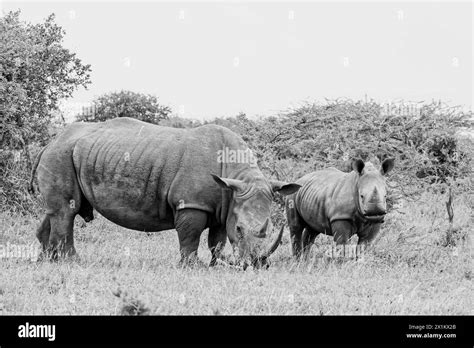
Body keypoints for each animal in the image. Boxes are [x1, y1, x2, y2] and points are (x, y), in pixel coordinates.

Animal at [30, 118, 300, 268]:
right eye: (241, 229)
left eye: (270, 229)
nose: (255, 264)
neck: (237, 175)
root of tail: (50, 142)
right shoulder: (191, 203)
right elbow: (190, 237)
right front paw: (193, 267)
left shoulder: (225, 203)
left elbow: (217, 240)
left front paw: (216, 265)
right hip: (61, 155)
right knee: (67, 210)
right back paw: (72, 262)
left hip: (69, 154)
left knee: (58, 211)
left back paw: (46, 261)